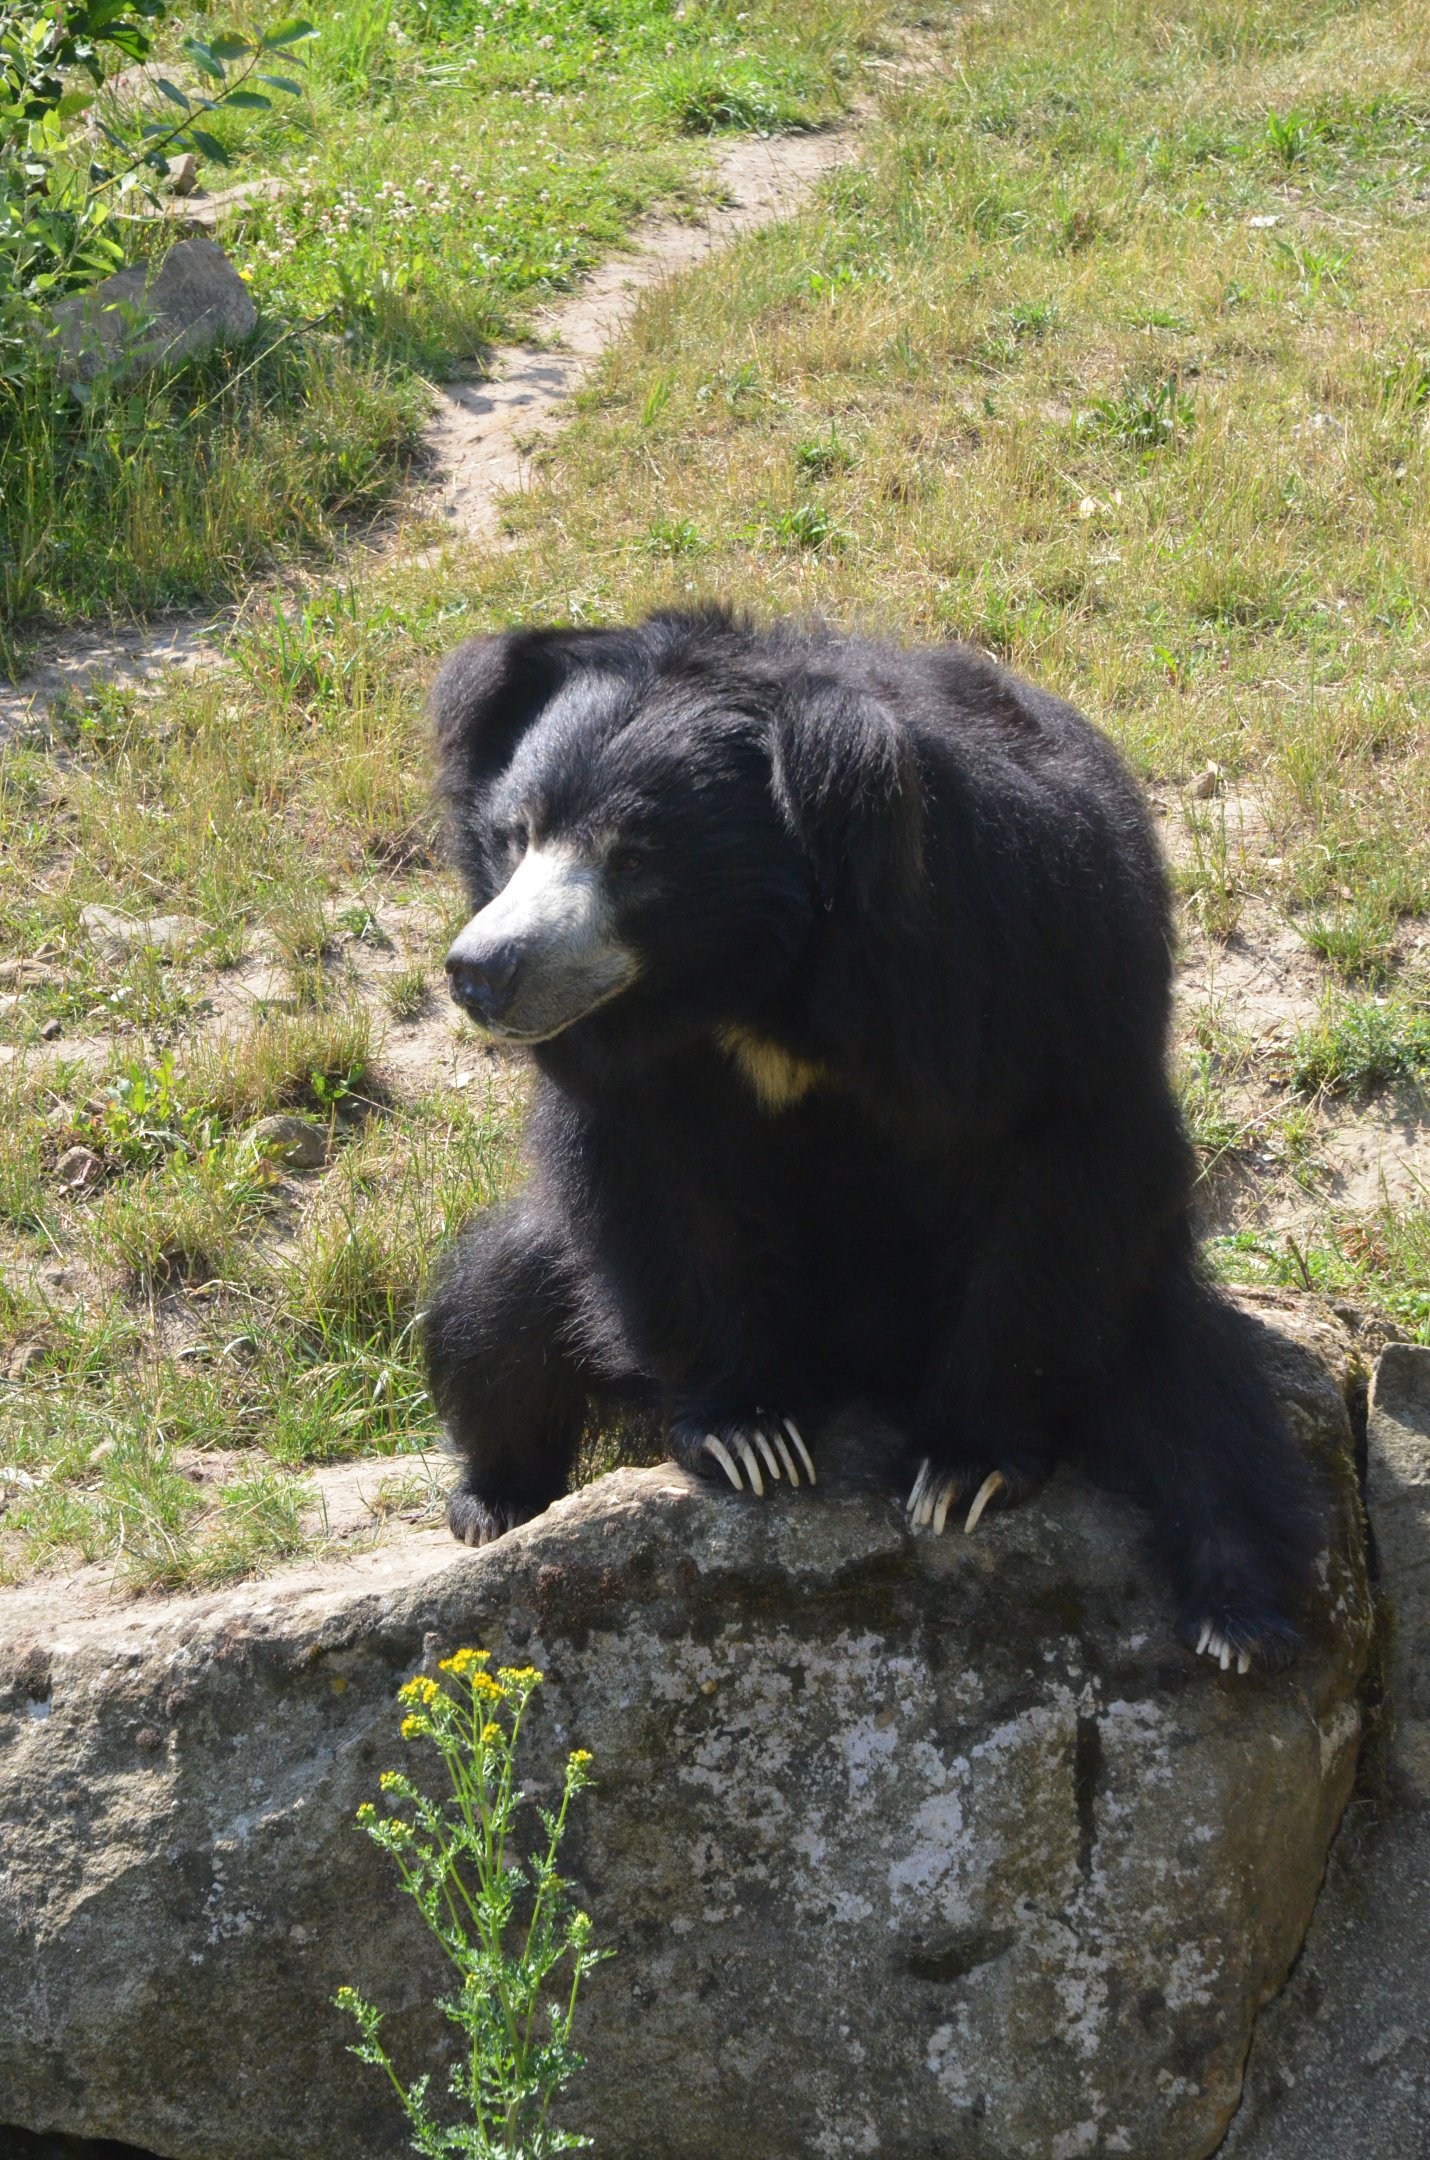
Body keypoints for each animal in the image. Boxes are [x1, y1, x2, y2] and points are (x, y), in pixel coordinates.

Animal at [423, 608, 1322, 1671]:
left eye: (634, 858)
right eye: (514, 837)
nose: (482, 970)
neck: (759, 978)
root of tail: (862, 1372)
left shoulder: (1028, 962)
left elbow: (1061, 1175)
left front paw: (964, 1471)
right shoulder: (642, 1072)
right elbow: (656, 1199)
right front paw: (751, 1435)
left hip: (1133, 1306)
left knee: (1204, 1407)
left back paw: (1238, 1617)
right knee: (497, 1308)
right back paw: (494, 1501)